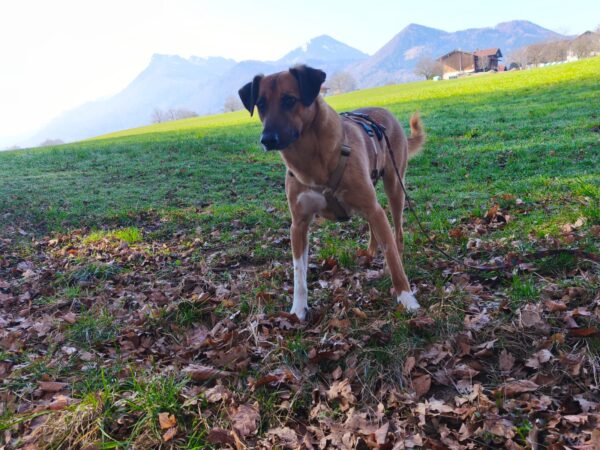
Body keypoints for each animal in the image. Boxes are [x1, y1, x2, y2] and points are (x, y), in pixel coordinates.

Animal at [238, 65, 425, 321]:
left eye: (289, 100)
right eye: (261, 104)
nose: (267, 139)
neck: (310, 160)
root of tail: (385, 111)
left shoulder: (374, 207)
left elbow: (393, 257)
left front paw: (407, 299)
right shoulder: (298, 224)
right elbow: (298, 273)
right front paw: (298, 309)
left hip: (395, 188)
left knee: (397, 233)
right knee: (374, 228)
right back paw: (369, 252)